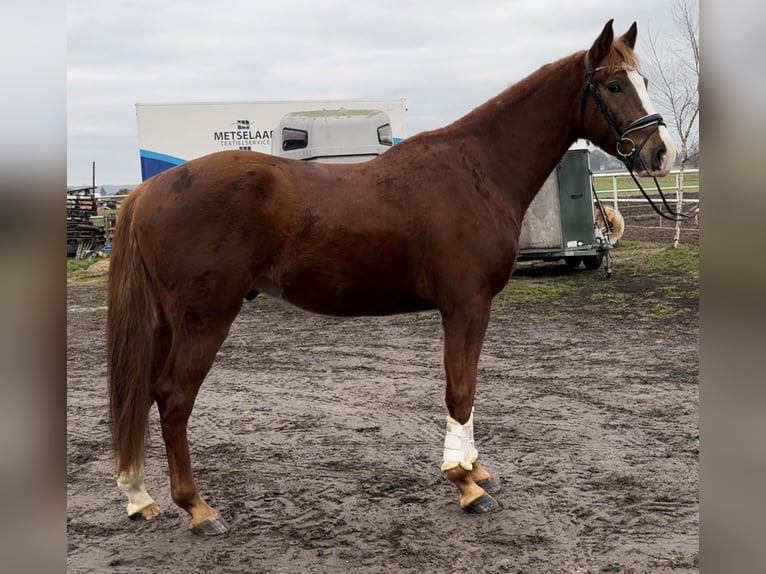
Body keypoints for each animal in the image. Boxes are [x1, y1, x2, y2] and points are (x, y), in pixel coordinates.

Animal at [108, 21, 680, 536]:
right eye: (613, 85)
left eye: (644, 80)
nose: (661, 153)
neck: (476, 171)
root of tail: (149, 189)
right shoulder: (466, 304)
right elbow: (460, 389)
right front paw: (465, 484)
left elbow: (468, 387)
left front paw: (476, 470)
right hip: (205, 319)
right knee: (173, 398)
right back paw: (198, 509)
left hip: (166, 322)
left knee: (143, 393)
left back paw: (139, 498)